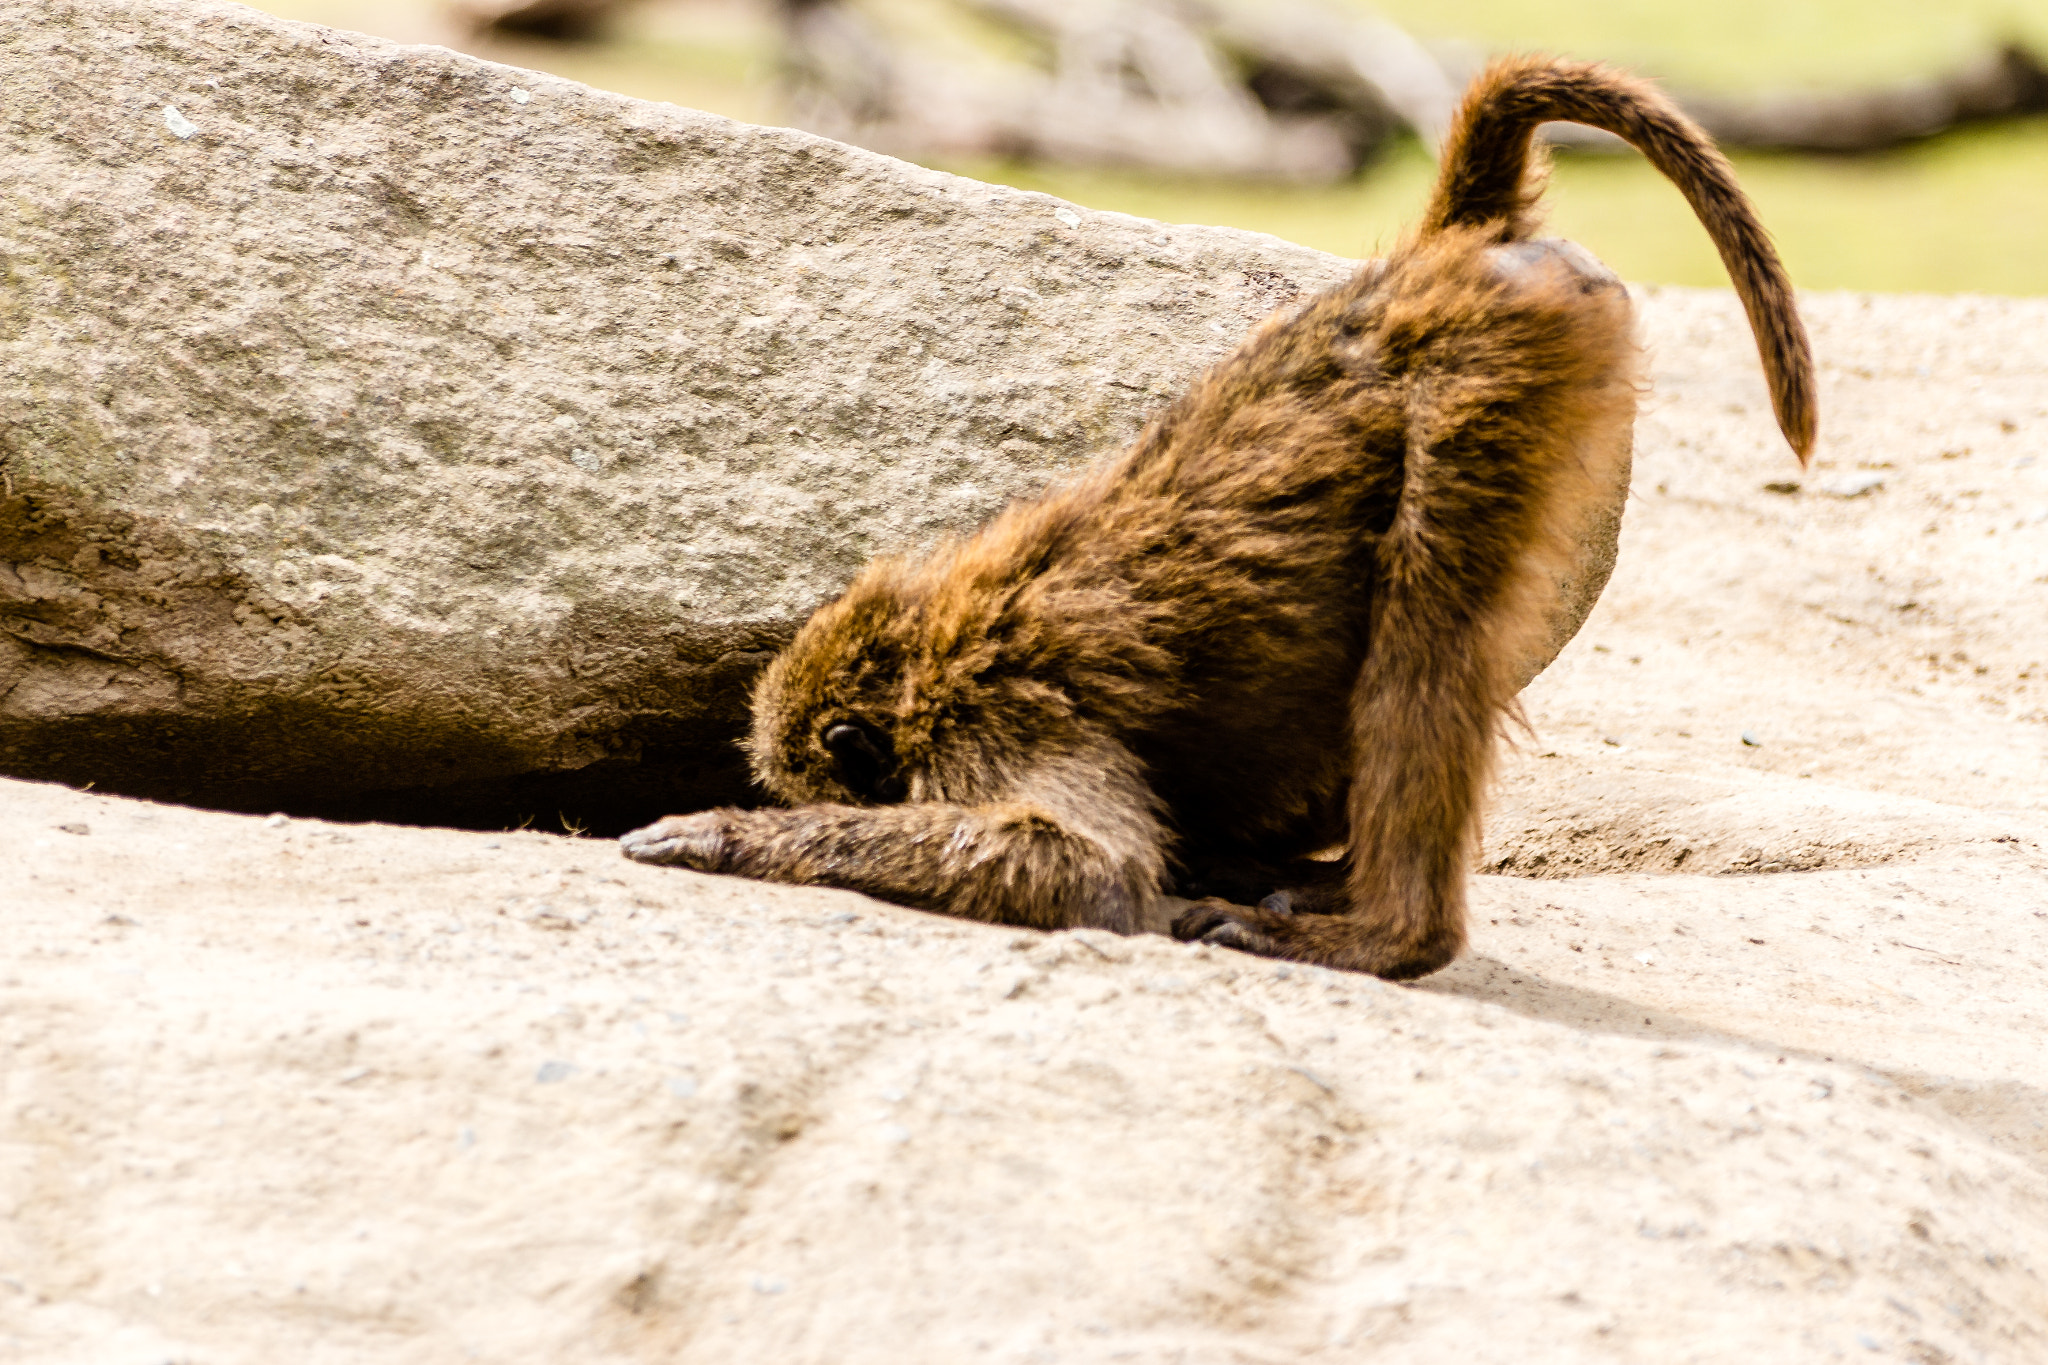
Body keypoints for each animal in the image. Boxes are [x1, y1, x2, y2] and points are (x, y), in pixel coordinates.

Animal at [619, 55, 1816, 979]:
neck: (919, 652)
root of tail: (1440, 254)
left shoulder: (995, 722)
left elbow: (1082, 865)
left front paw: (715, 836)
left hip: (1485, 373)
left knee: (1426, 643)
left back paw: (1389, 939)